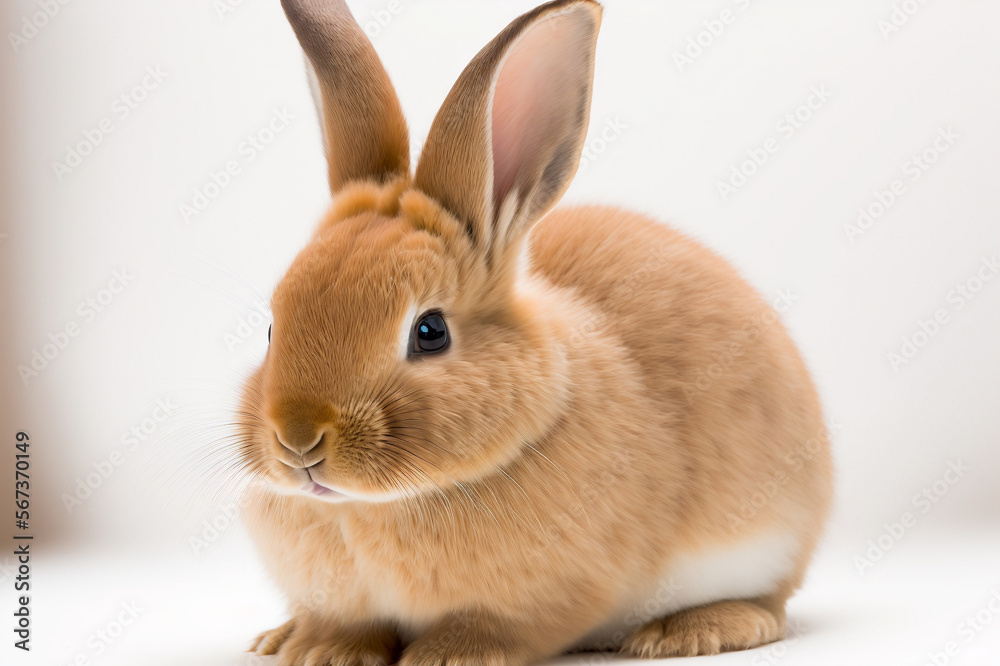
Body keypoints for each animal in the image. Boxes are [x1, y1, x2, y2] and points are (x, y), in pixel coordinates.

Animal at [237, 0, 833, 664]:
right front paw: (319, 649)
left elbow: (503, 626)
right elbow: (347, 623)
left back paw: (690, 631)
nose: (298, 441)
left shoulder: (554, 599)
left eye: (430, 331)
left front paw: (445, 654)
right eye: (271, 327)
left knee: (771, 606)